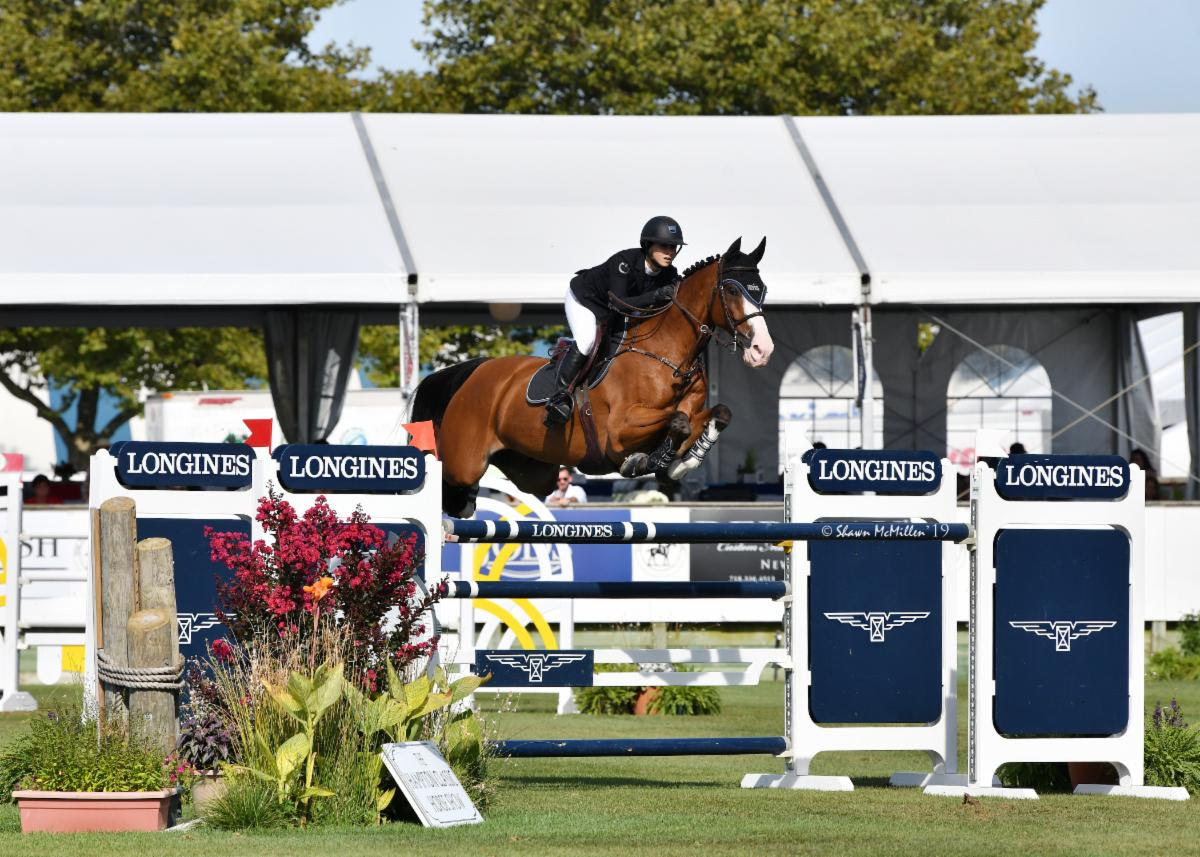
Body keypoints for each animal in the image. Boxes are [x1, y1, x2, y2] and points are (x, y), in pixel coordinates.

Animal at [408, 234, 772, 513]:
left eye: (762, 289)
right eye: (733, 290)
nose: (762, 350)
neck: (669, 356)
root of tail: (472, 371)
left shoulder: (693, 410)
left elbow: (714, 415)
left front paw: (681, 462)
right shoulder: (620, 429)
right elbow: (677, 422)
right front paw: (646, 462)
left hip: (532, 471)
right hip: (464, 464)